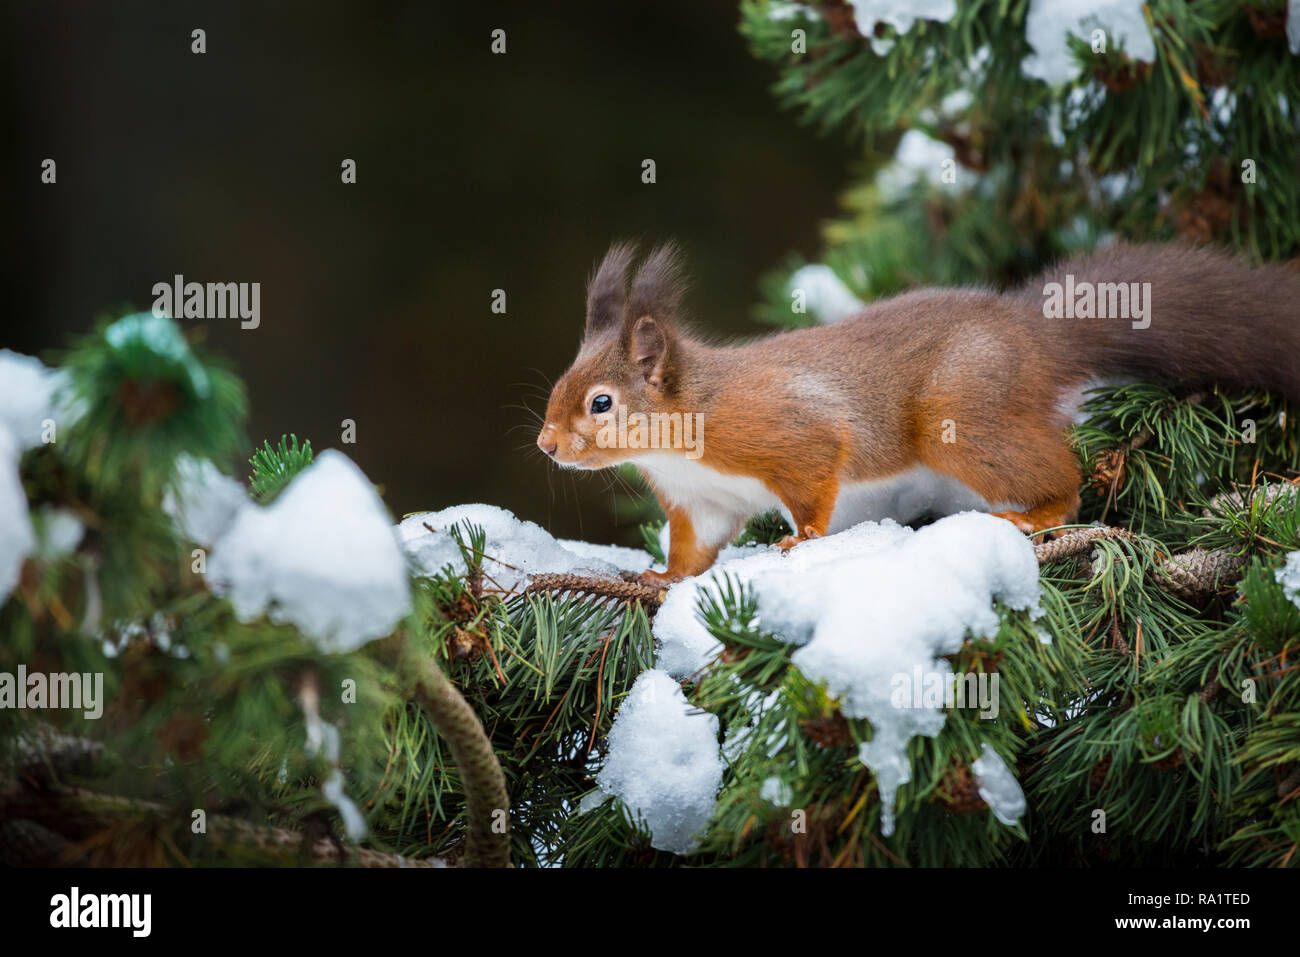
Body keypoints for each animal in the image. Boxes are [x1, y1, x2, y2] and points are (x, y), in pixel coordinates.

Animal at [535, 239, 1300, 582]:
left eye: (601, 403)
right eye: (558, 389)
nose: (545, 446)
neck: (681, 432)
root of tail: (1033, 338)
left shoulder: (787, 433)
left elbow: (816, 479)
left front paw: (801, 541)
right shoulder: (702, 502)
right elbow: (694, 547)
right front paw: (662, 578)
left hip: (960, 415)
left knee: (1064, 475)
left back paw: (1035, 516)